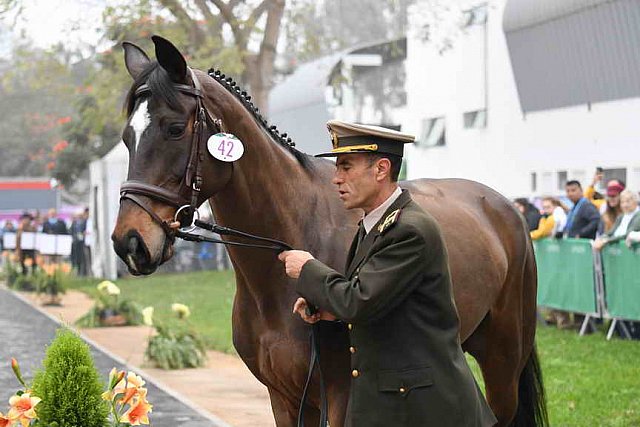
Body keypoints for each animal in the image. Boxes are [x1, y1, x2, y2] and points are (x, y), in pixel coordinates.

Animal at [112, 36, 548, 427]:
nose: (129, 241)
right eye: (127, 137)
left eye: (173, 129)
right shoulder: (285, 397)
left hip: (503, 358)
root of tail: (503, 206)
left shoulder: (341, 394)